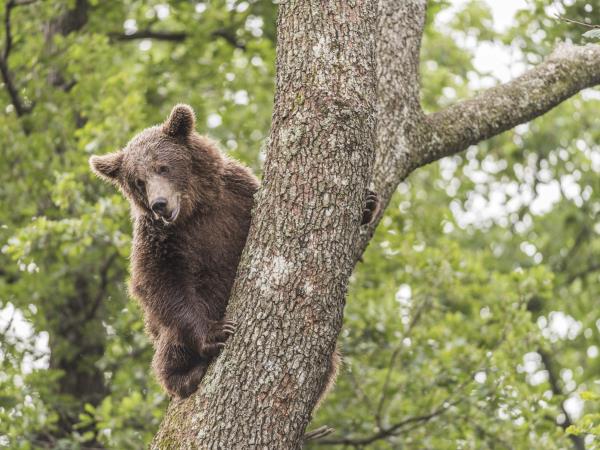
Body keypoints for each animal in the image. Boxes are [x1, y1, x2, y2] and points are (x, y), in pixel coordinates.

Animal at [88, 104, 378, 400]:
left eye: (163, 167)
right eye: (138, 181)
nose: (159, 203)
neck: (196, 208)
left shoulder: (238, 196)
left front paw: (368, 203)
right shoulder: (159, 238)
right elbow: (159, 283)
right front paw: (215, 333)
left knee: (330, 361)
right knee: (169, 342)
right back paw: (185, 375)